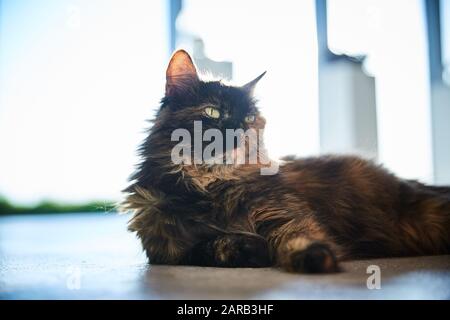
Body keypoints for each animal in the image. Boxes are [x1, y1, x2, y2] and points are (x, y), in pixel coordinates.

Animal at [120, 50, 450, 272]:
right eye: (214, 112)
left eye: (249, 118)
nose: (241, 131)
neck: (209, 188)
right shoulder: (166, 248)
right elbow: (210, 245)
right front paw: (249, 249)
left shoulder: (282, 211)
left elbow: (297, 234)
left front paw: (314, 257)